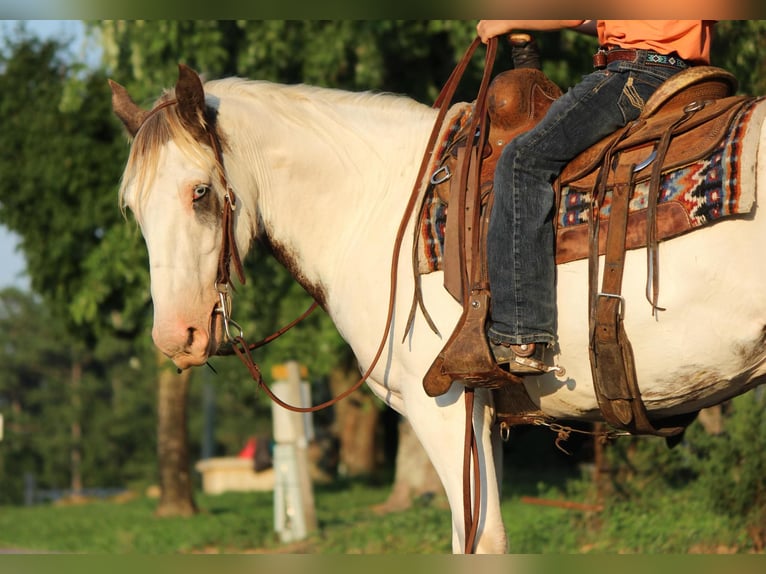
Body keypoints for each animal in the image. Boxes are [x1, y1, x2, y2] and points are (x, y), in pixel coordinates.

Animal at [111, 64, 766, 560]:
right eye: (132, 209)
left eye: (200, 193)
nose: (176, 337)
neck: (379, 207)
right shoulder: (487, 413)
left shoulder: (446, 406)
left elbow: (482, 541)